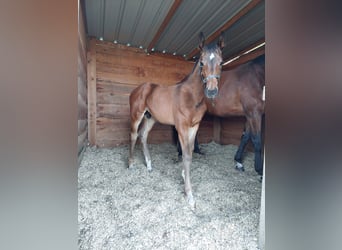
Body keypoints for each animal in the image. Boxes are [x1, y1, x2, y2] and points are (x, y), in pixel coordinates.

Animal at [128, 31, 224, 208]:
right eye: (201, 62)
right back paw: (130, 164)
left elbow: (190, 153)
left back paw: (149, 165)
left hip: (150, 118)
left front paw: (184, 175)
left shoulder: (194, 127)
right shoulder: (182, 127)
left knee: (143, 135)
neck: (192, 96)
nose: (211, 91)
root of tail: (137, 89)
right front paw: (189, 195)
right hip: (136, 115)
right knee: (133, 134)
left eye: (221, 62)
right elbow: (185, 155)